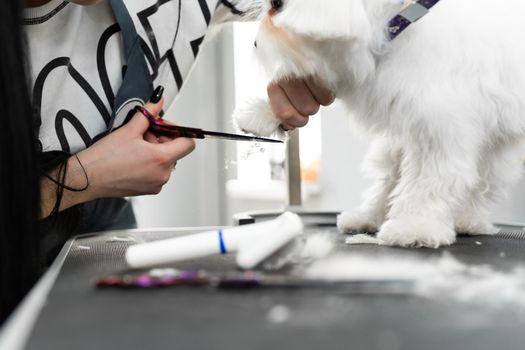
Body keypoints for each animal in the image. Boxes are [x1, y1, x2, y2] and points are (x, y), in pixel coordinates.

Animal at [226, 0, 525, 247]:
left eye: (277, 5)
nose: (255, 44)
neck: (397, 24)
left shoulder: (439, 128)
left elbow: (429, 179)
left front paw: (414, 226)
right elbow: (391, 176)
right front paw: (259, 114)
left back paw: (465, 220)